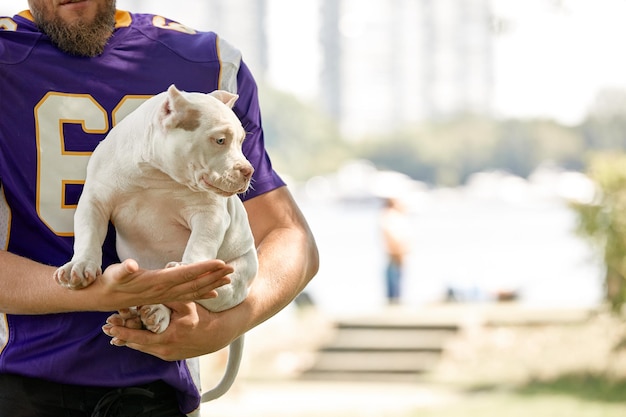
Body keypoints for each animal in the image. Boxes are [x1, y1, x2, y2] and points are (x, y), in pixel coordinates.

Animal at [53, 84, 256, 400]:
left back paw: (159, 310)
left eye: (242, 142)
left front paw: (188, 268)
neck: (157, 175)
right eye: (220, 140)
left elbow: (199, 245)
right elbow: (88, 234)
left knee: (202, 296)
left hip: (237, 277)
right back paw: (134, 317)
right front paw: (80, 266)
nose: (248, 171)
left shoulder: (209, 214)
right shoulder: (95, 200)